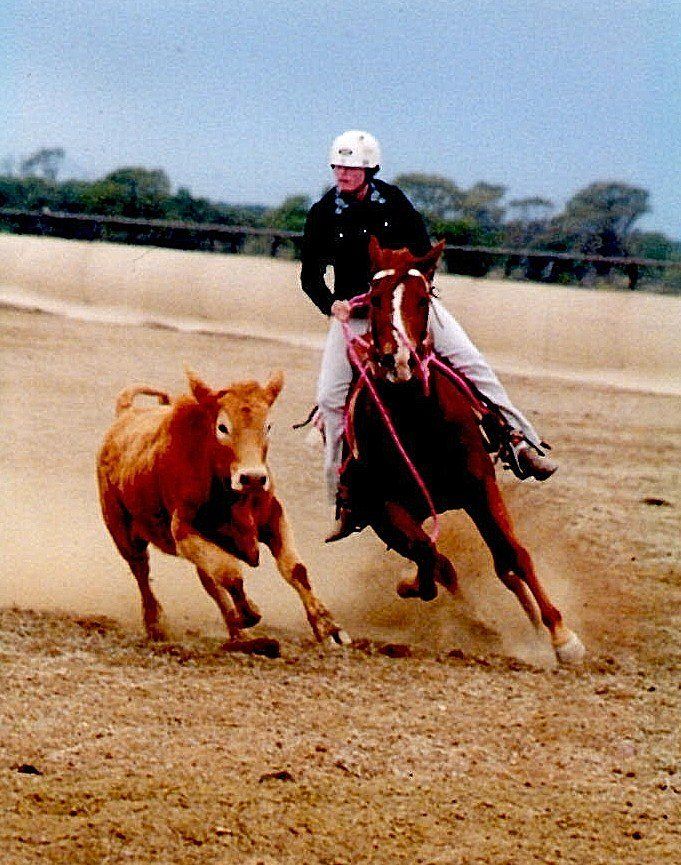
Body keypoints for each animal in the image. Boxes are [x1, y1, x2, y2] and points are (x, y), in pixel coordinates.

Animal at [339, 237, 585, 666]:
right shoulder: (387, 507)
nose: (397, 359)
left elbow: (514, 554)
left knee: (502, 566)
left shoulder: (479, 486)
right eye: (373, 298)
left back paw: (531, 627)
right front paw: (410, 585)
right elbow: (430, 557)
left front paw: (562, 636)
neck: (417, 420)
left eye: (424, 299)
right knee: (441, 563)